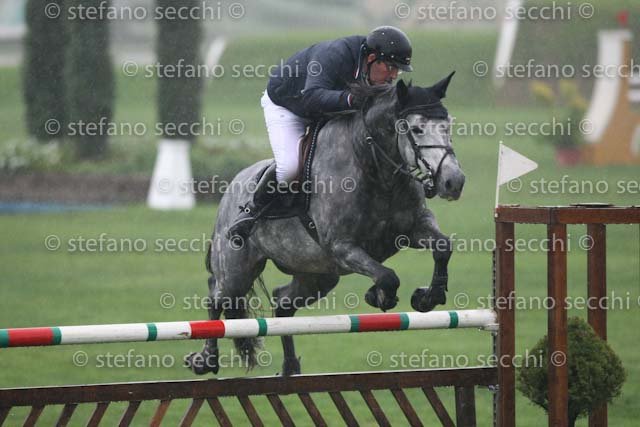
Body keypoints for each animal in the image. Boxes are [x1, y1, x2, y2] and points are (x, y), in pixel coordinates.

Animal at [186, 73, 465, 376]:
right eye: (416, 129)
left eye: (447, 125)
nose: (454, 182)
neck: (374, 168)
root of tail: (231, 188)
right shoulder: (342, 246)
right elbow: (388, 276)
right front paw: (379, 296)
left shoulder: (414, 228)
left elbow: (442, 247)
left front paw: (427, 297)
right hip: (237, 270)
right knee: (217, 297)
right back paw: (205, 359)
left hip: (318, 275)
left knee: (282, 303)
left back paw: (290, 366)